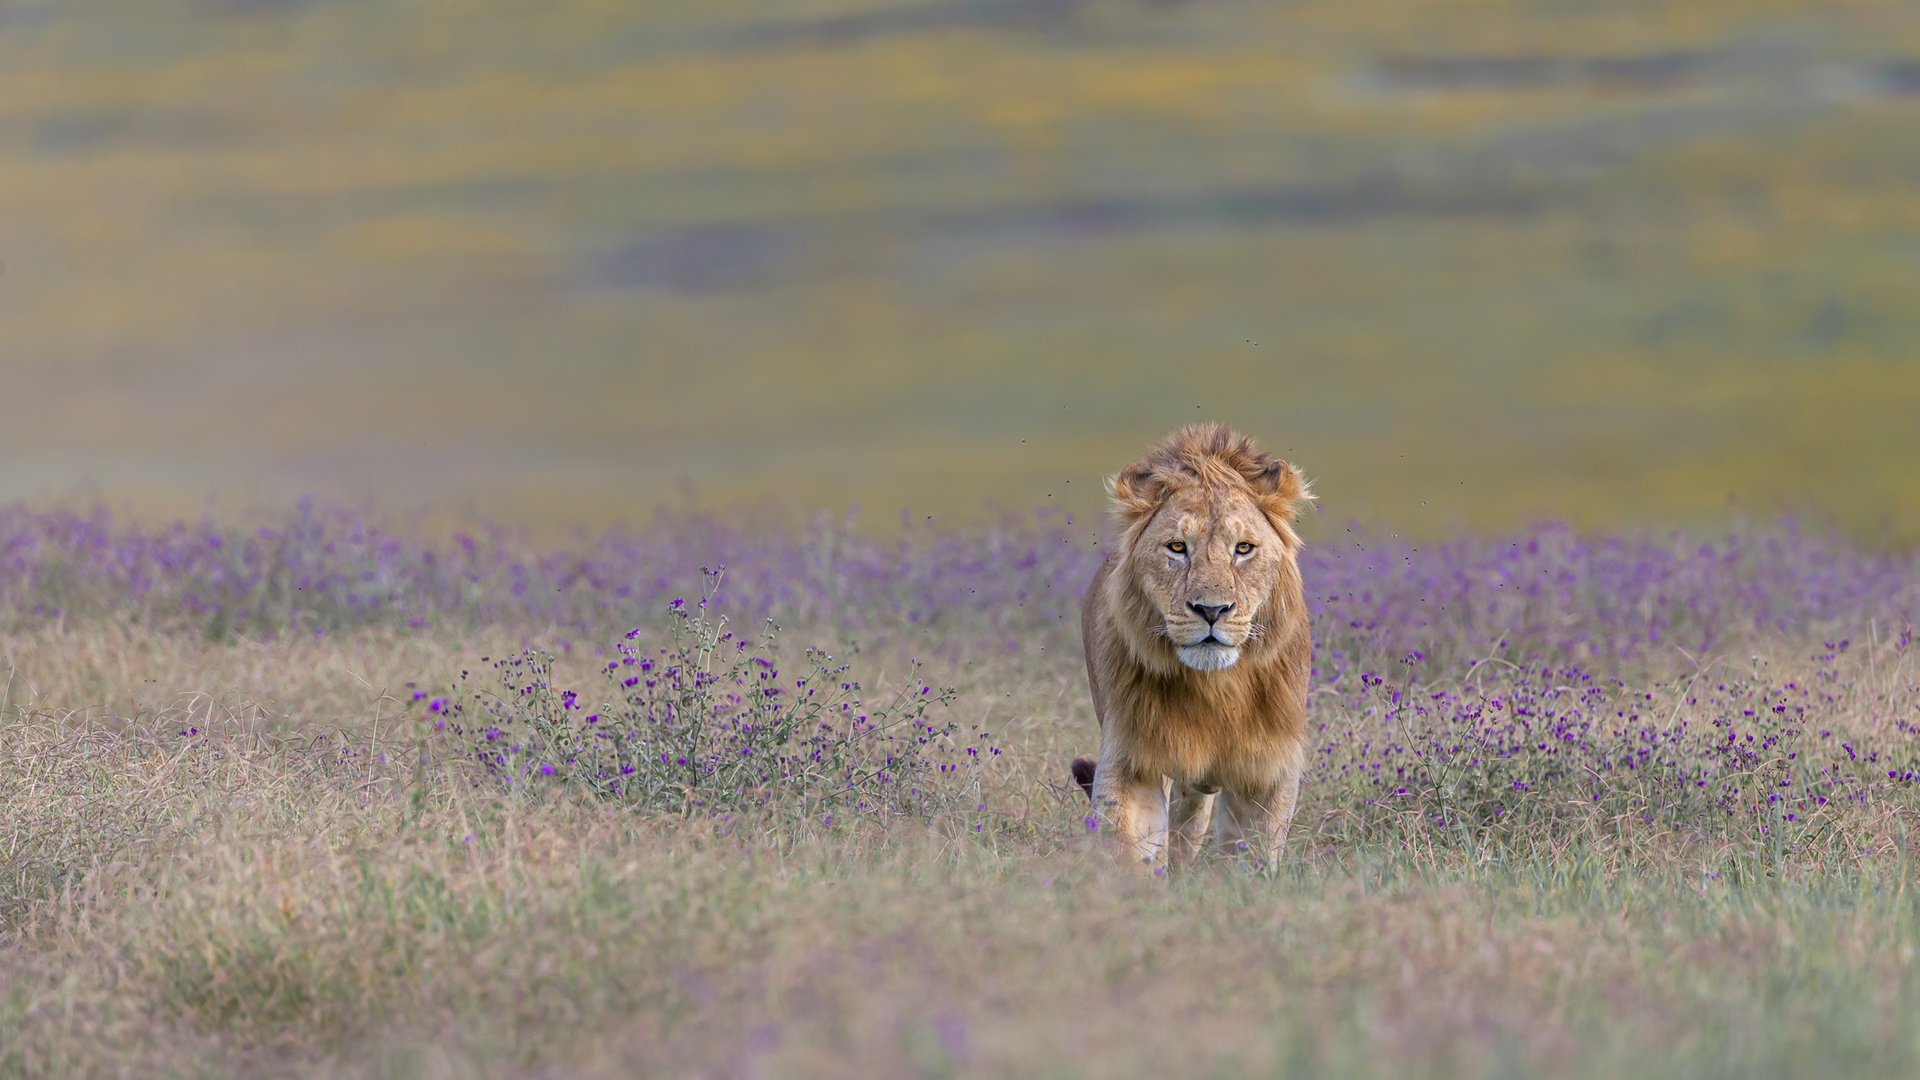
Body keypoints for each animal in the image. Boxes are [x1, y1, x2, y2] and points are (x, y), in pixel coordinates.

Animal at [1075, 420, 1313, 864]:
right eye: (1177, 547)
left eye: (1243, 548)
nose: (1211, 610)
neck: (1214, 690)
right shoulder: (1133, 756)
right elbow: (1126, 841)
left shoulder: (1267, 766)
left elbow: (1253, 851)